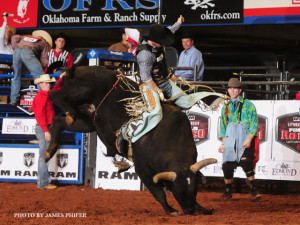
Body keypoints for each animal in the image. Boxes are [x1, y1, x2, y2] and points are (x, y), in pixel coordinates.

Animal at [45, 66, 217, 215]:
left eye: (194, 189)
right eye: (176, 189)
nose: (189, 210)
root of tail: (78, 68)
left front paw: (201, 208)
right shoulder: (142, 169)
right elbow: (158, 192)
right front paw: (171, 210)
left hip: (89, 121)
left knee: (60, 121)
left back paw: (50, 150)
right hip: (80, 91)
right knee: (55, 96)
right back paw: (68, 112)